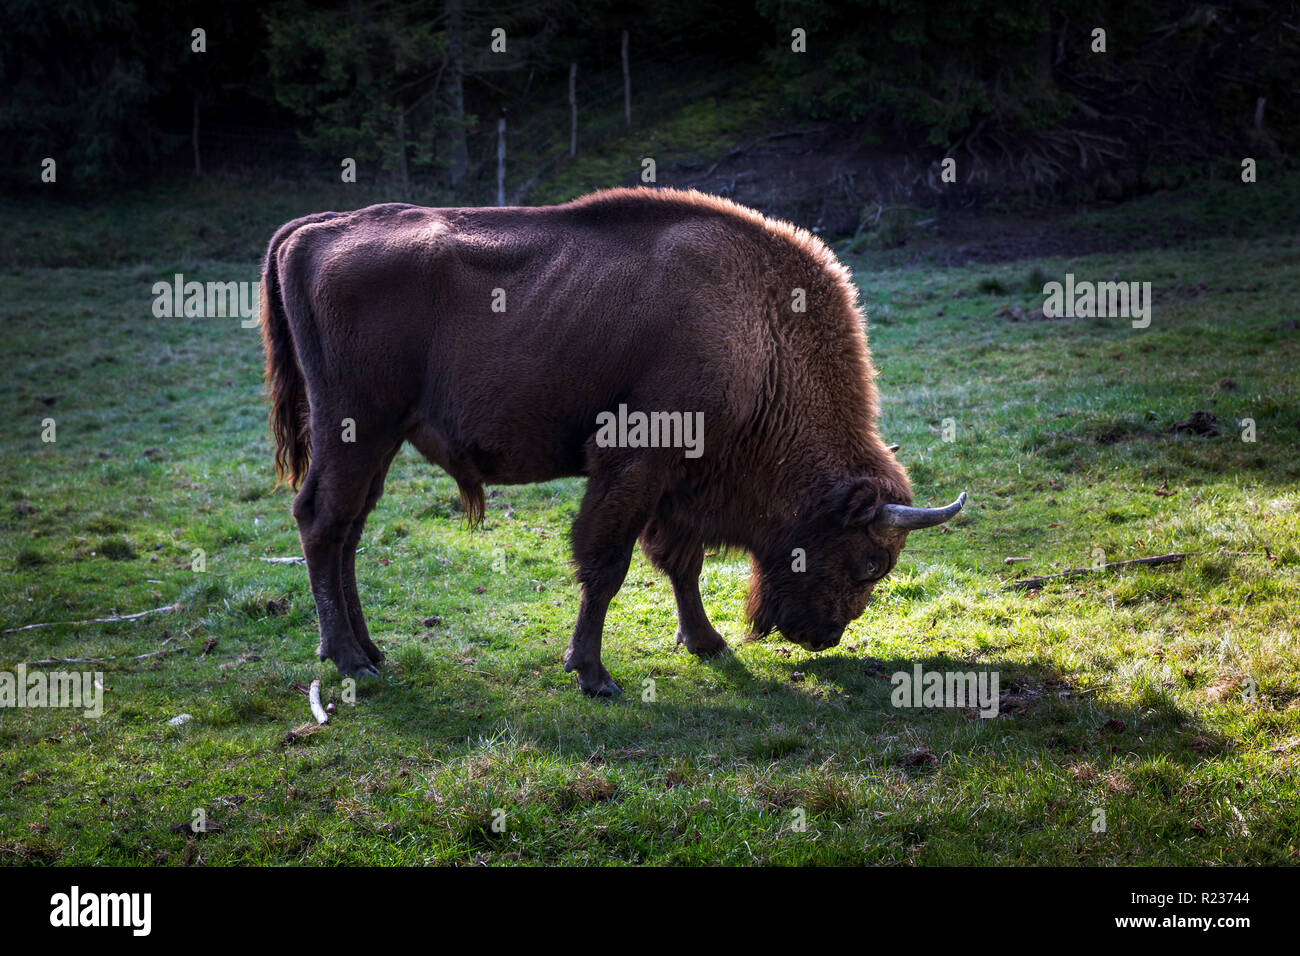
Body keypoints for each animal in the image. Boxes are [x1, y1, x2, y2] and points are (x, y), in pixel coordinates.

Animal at [258, 187, 967, 697]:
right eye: (870, 562)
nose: (823, 637)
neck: (757, 332)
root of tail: (313, 230)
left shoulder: (675, 485)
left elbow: (680, 563)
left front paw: (706, 643)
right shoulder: (636, 464)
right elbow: (608, 564)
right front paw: (595, 675)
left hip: (378, 442)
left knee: (347, 530)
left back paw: (369, 651)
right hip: (355, 429)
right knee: (321, 521)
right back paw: (351, 662)